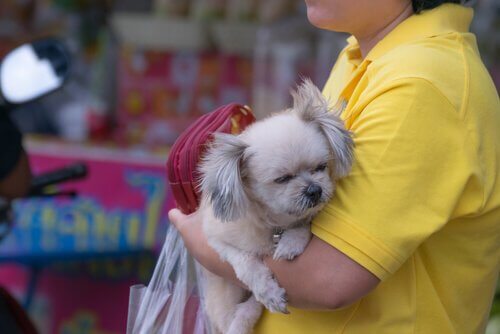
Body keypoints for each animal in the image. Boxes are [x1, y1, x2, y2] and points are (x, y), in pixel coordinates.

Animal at [197, 79, 354, 334]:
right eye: (282, 179)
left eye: (321, 167)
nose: (314, 190)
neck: (276, 223)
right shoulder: (217, 240)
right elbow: (247, 263)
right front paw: (268, 291)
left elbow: (304, 224)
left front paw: (291, 242)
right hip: (224, 295)